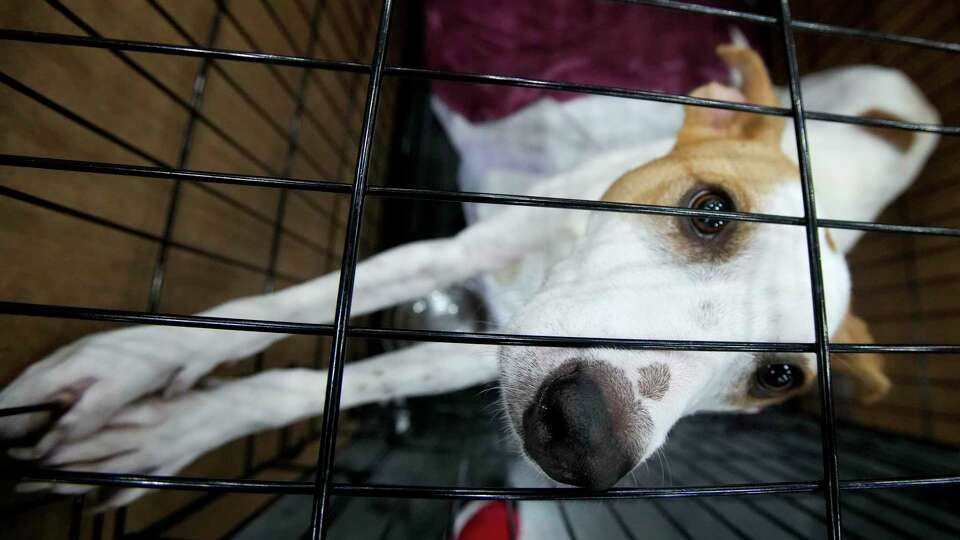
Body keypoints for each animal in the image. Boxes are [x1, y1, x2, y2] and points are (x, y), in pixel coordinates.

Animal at [0, 47, 936, 516]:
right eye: (710, 211)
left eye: (778, 377)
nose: (585, 439)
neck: (549, 260)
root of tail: (915, 104)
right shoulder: (462, 249)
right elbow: (304, 301)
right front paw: (131, 365)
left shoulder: (481, 348)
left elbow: (328, 382)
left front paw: (177, 431)